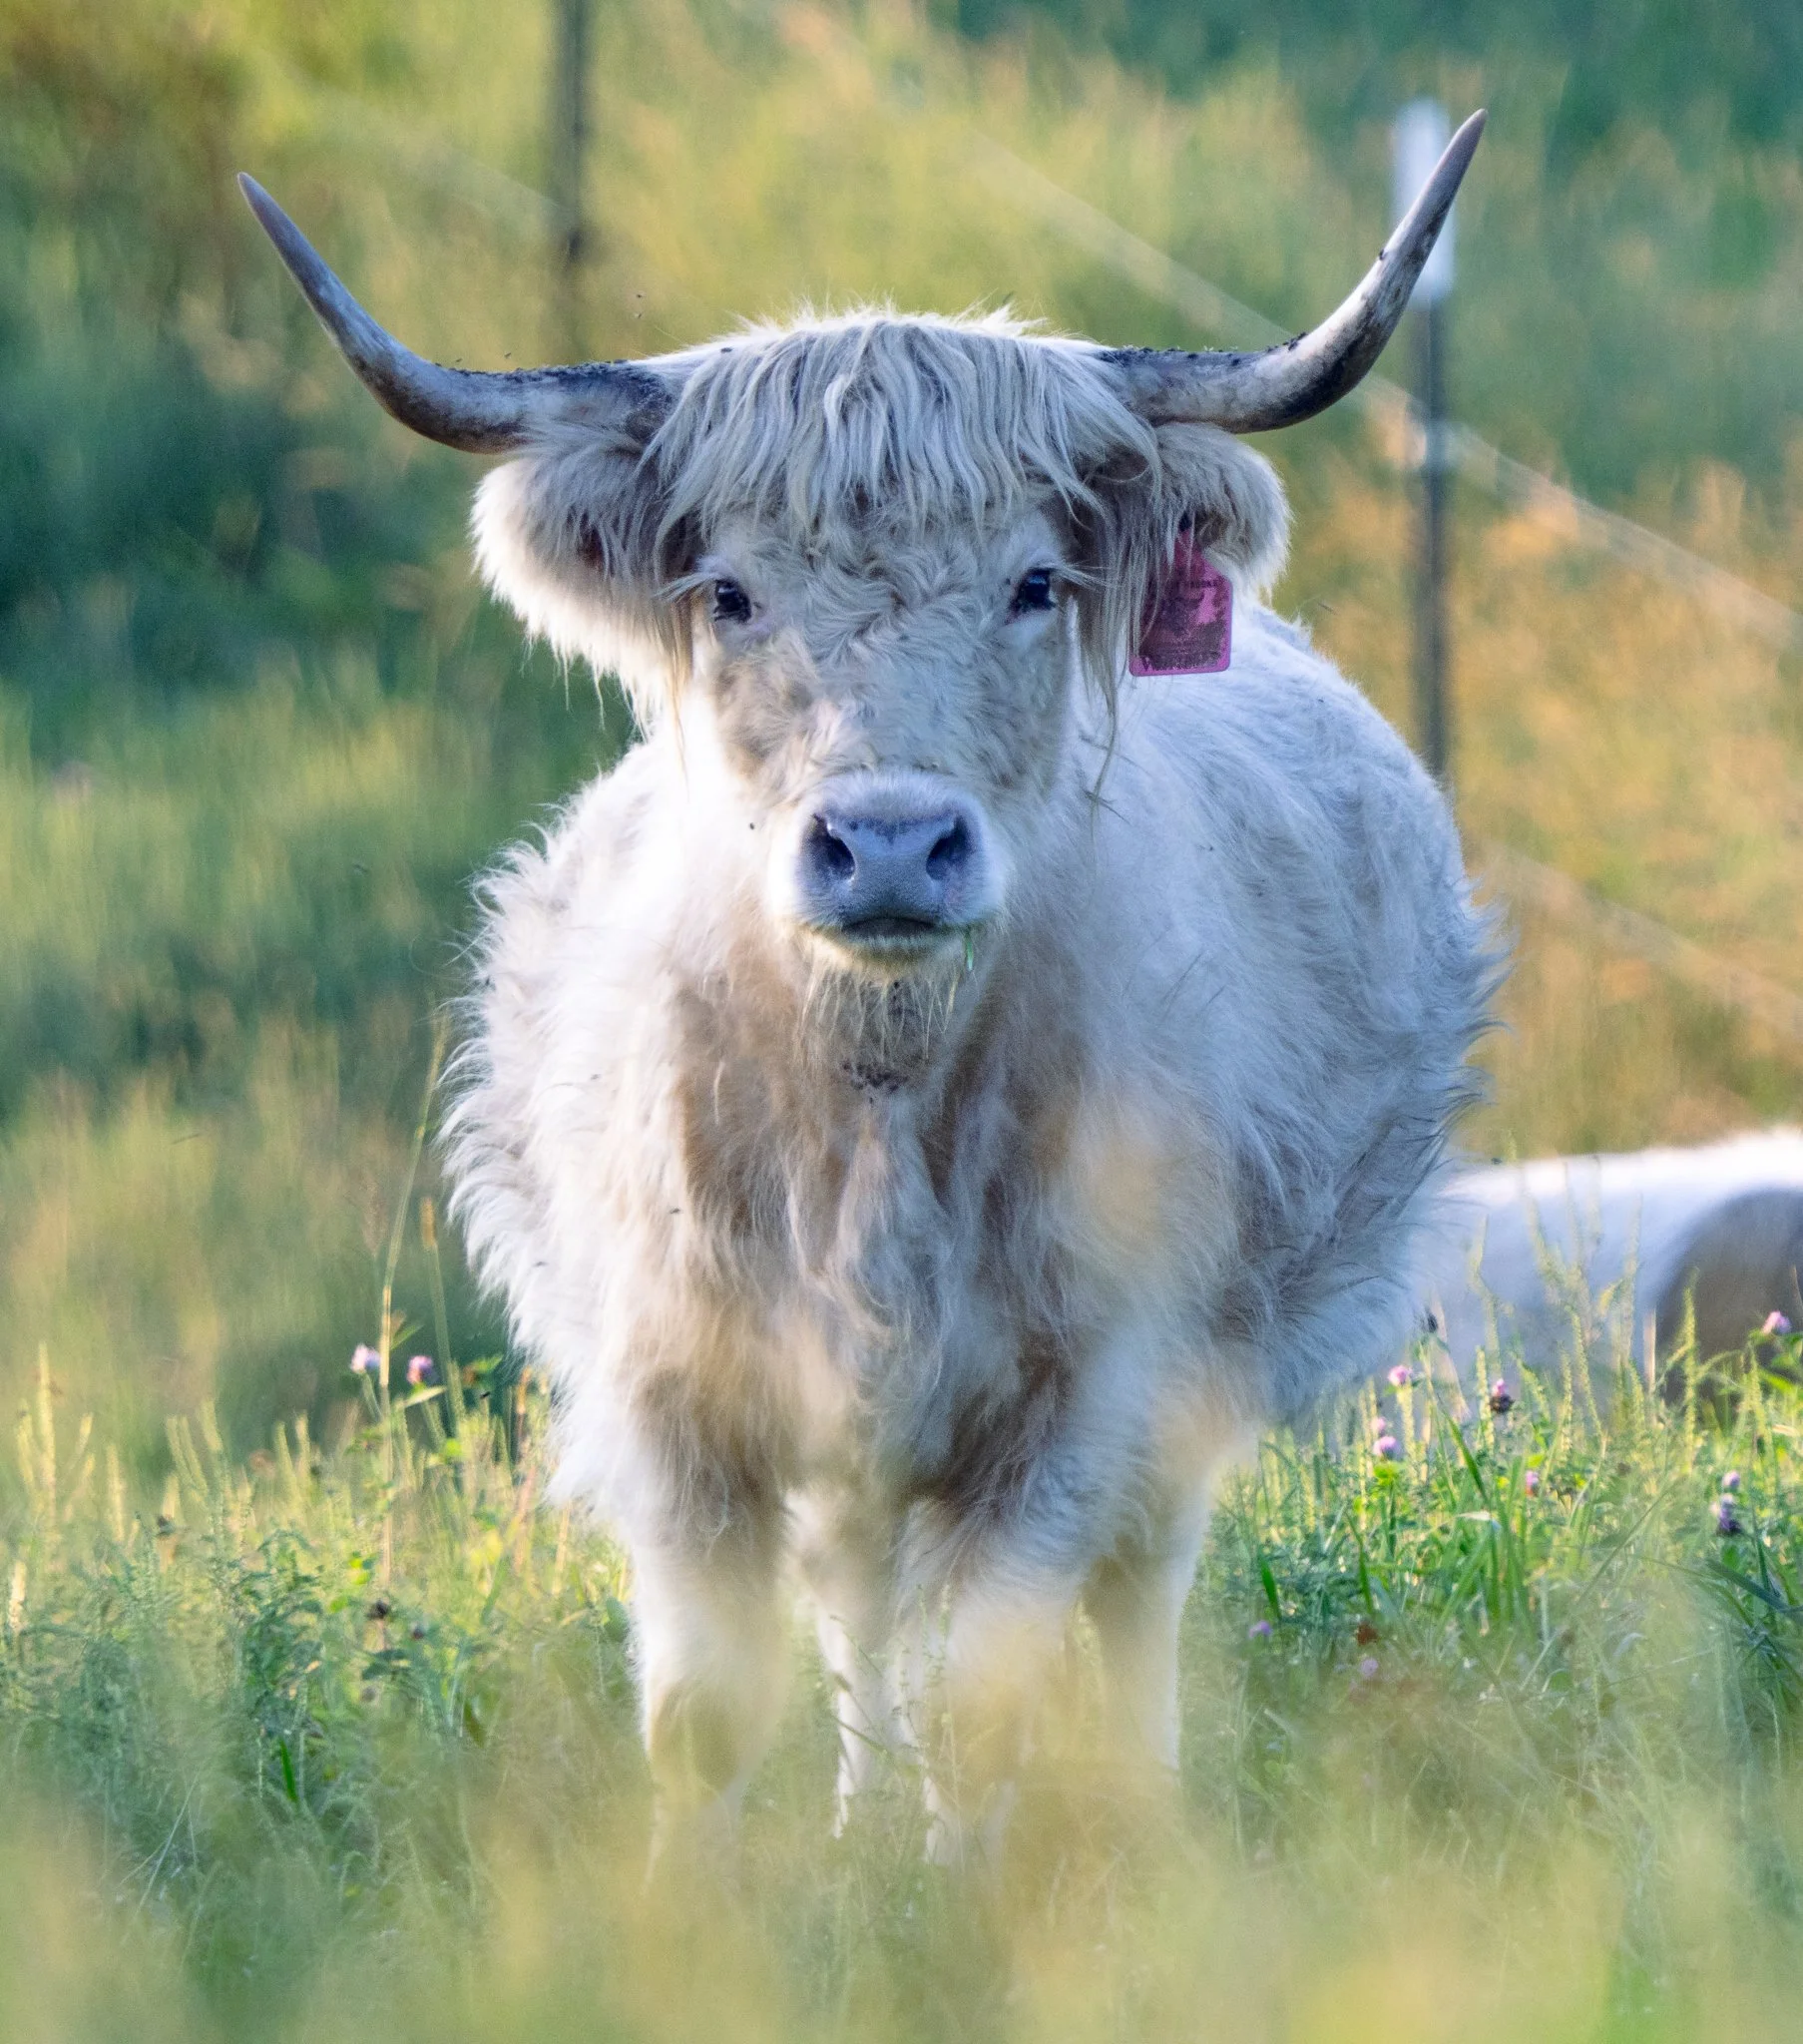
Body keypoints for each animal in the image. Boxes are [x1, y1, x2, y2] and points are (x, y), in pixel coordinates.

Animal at [241, 111, 1493, 1864]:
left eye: (1035, 582)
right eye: (727, 593)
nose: (890, 844)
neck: (875, 1086)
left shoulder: (1072, 1401)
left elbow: (988, 1699)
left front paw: (959, 1896)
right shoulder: (676, 1402)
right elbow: (706, 1713)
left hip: (1183, 1384)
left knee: (1130, 1594)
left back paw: (1134, 1811)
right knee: (857, 1608)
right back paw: (855, 1821)